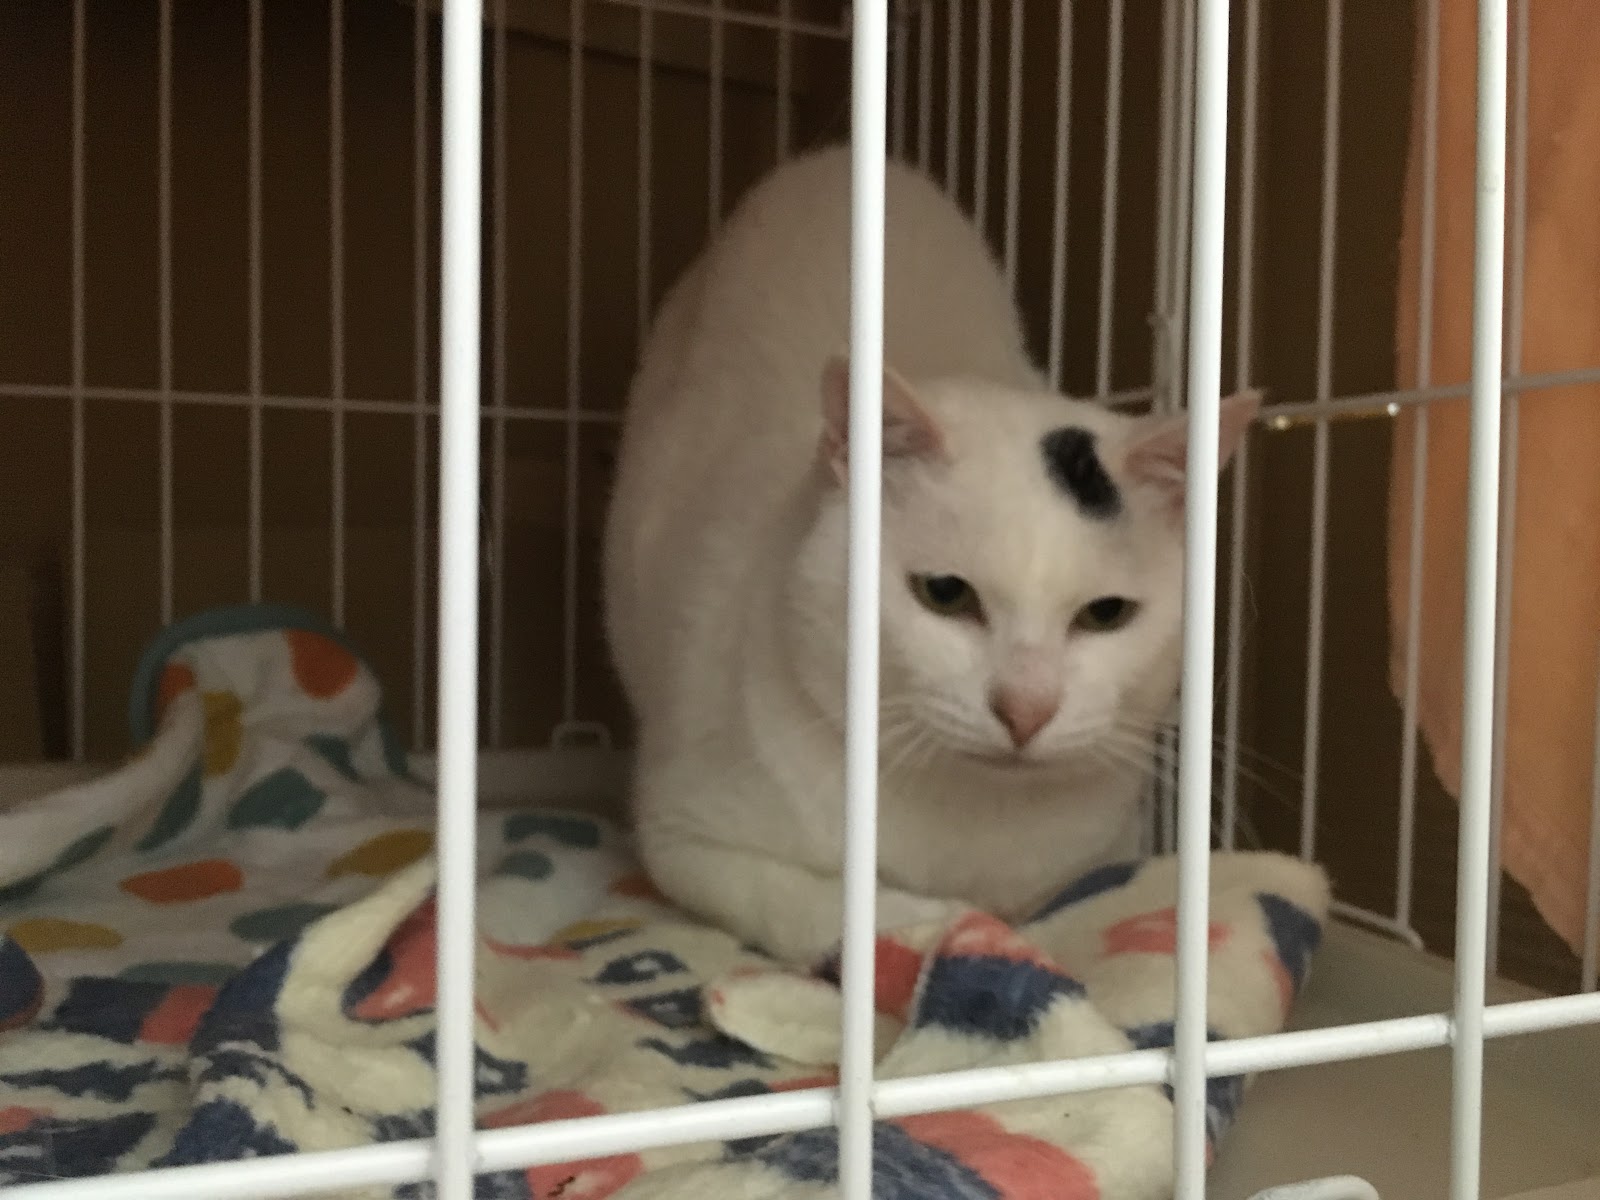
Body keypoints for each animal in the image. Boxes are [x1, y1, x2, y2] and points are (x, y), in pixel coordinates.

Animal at [603, 145, 1256, 965]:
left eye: (1106, 614)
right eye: (945, 594)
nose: (1026, 708)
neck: (970, 825)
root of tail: (835, 156)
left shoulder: (1103, 850)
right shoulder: (684, 834)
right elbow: (825, 903)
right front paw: (939, 926)